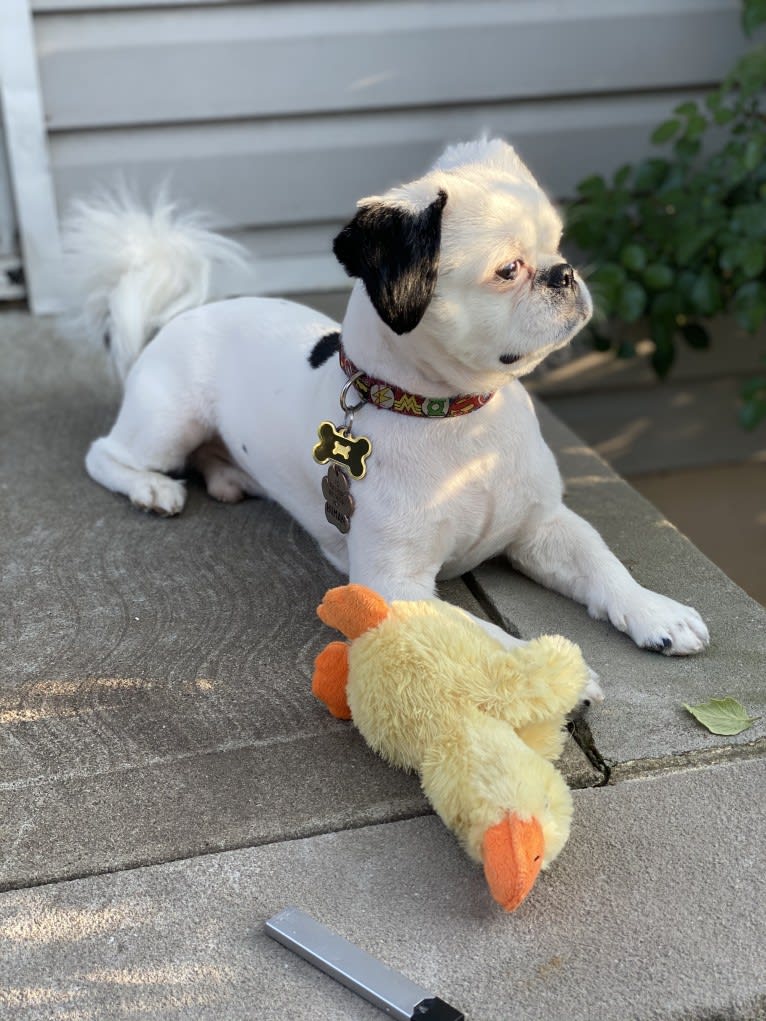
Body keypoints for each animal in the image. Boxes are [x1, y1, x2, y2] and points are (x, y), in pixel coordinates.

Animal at [63, 139, 710, 673]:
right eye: (508, 270)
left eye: (557, 245)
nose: (566, 272)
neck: (462, 422)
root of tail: (180, 316)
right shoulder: (393, 586)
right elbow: (478, 633)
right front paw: (540, 673)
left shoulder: (543, 525)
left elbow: (603, 565)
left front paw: (655, 613)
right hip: (169, 421)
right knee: (106, 455)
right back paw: (152, 488)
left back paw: (228, 476)